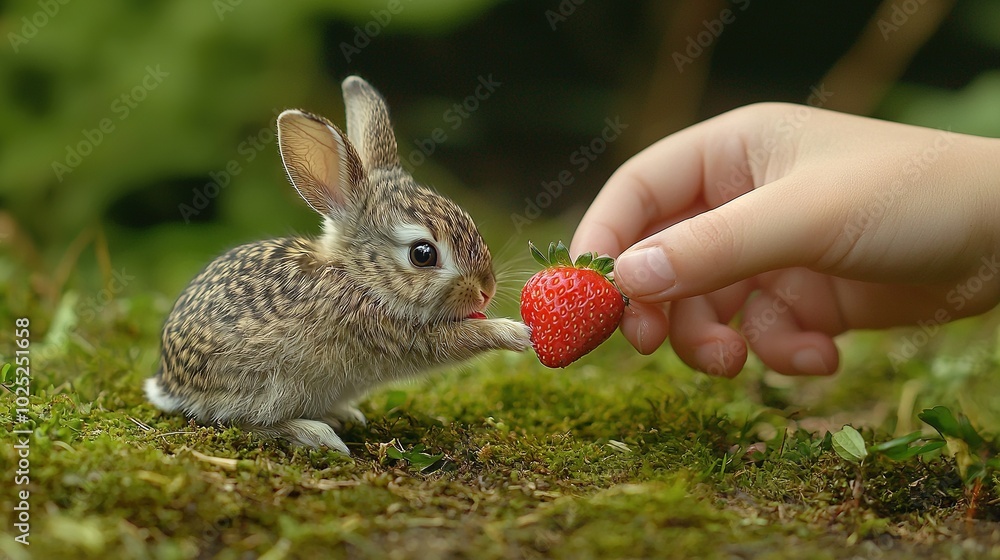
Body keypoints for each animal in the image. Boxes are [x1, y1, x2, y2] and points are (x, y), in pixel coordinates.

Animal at [146, 74, 536, 452]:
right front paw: (514, 333)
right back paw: (316, 433)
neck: (356, 277)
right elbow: (458, 340)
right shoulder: (393, 332)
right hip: (267, 385)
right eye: (423, 254)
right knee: (242, 422)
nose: (486, 291)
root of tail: (170, 385)